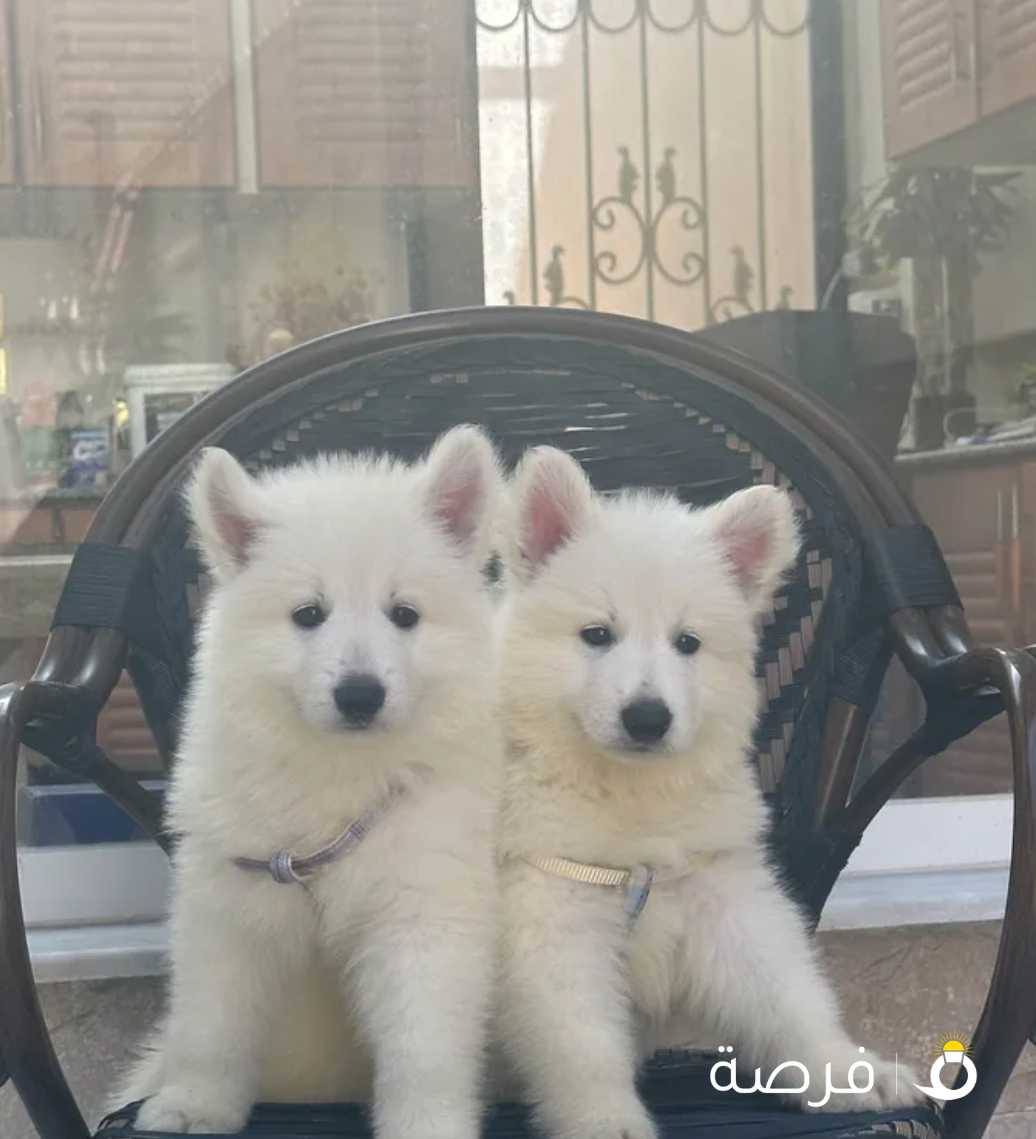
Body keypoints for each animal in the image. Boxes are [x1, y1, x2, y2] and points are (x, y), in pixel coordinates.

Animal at [123, 423, 505, 1134]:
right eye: (308, 614)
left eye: (404, 614)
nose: (360, 695)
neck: (341, 771)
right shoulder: (228, 905)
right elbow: (211, 1026)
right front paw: (194, 1103)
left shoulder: (423, 908)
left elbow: (423, 1050)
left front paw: (426, 1124)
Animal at [496, 444, 924, 1139]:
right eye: (597, 634)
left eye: (688, 643)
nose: (648, 718)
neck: (630, 797)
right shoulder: (552, 907)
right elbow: (581, 1043)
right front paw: (608, 1121)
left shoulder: (723, 895)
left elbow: (788, 997)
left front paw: (846, 1072)